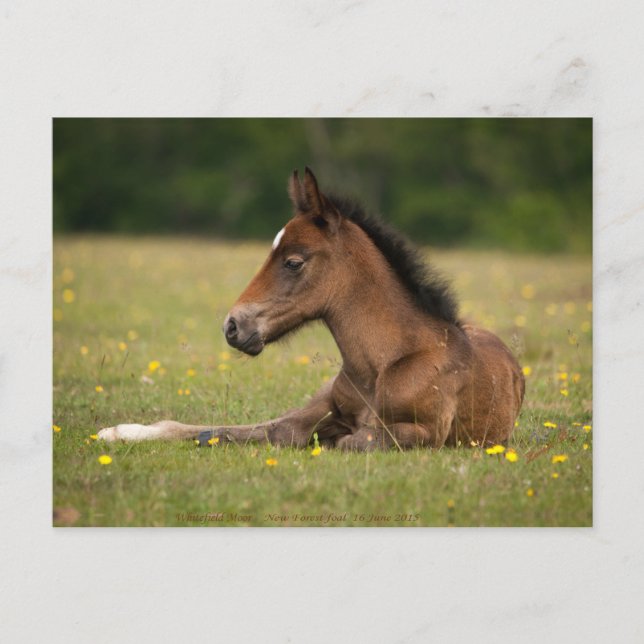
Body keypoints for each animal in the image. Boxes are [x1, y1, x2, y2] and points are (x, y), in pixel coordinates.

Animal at [98, 167, 524, 451]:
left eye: (293, 262)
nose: (233, 325)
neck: (385, 362)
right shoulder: (317, 415)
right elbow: (245, 430)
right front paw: (123, 431)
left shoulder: (427, 433)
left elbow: (353, 441)